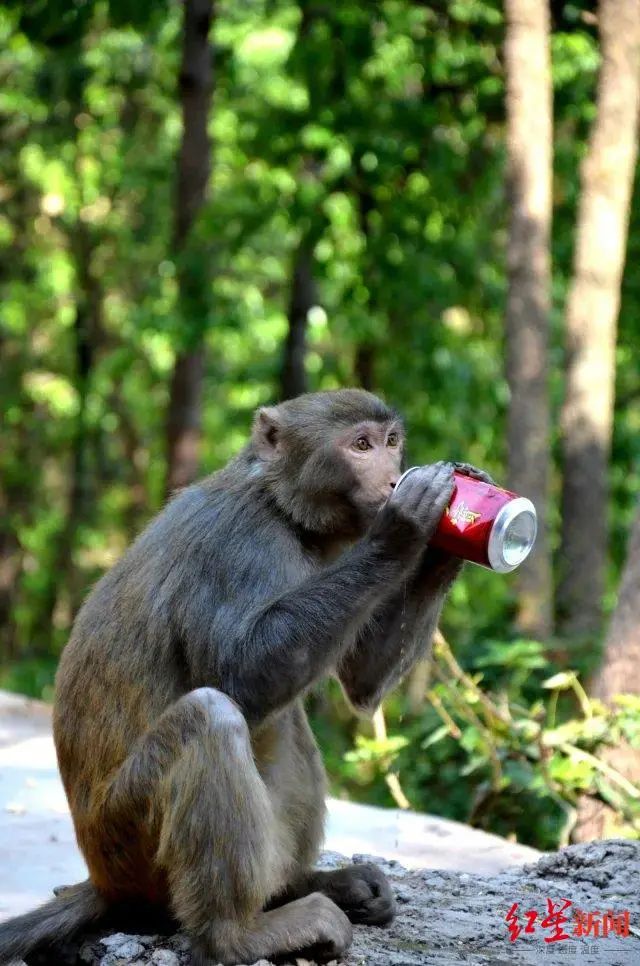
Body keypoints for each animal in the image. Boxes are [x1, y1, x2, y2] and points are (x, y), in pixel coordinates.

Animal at [0, 390, 496, 964]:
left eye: (391, 442)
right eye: (361, 445)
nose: (395, 476)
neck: (282, 508)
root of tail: (103, 882)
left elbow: (360, 680)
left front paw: (448, 530)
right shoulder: (235, 543)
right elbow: (240, 671)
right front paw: (406, 525)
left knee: (286, 721)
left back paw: (305, 886)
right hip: (130, 845)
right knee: (211, 716)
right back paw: (236, 935)